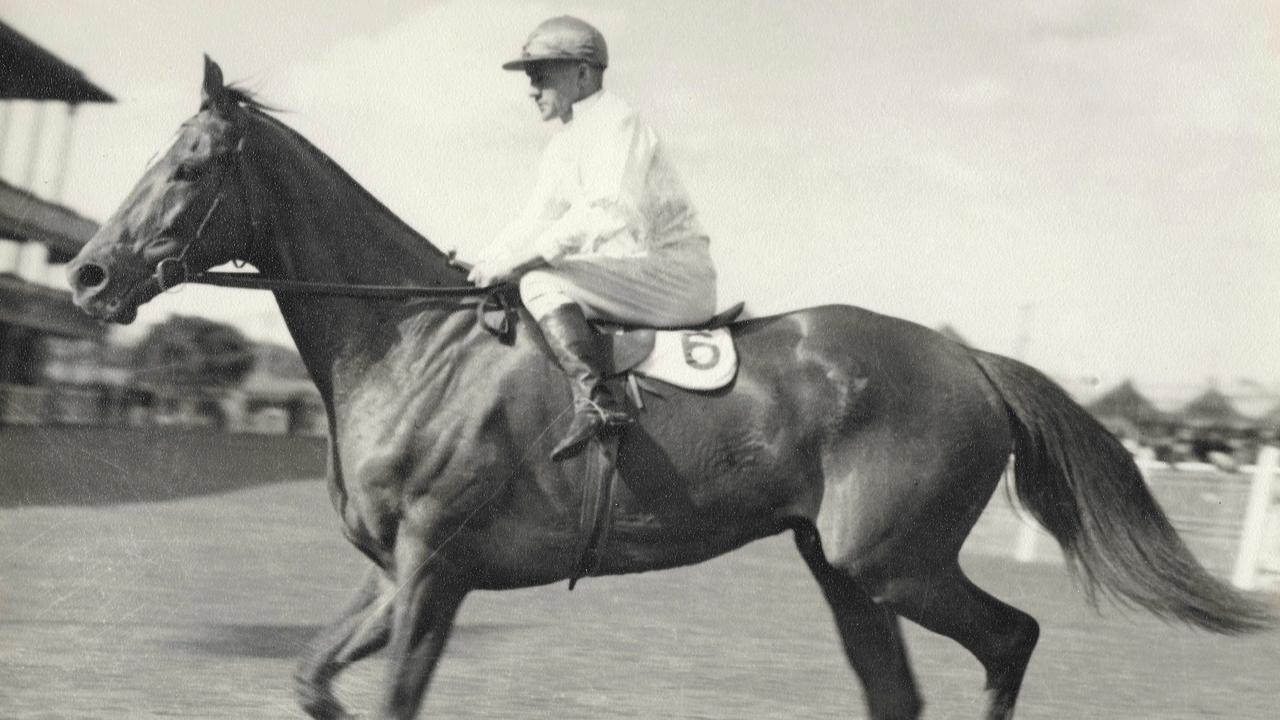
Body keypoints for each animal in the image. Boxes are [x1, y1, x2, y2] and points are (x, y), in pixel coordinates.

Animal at [62, 57, 1269, 717]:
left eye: (186, 166)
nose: (86, 274)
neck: (414, 349)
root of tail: (964, 358)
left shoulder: (436, 570)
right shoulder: (399, 572)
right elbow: (313, 679)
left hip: (895, 562)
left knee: (1011, 640)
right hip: (846, 573)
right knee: (901, 691)